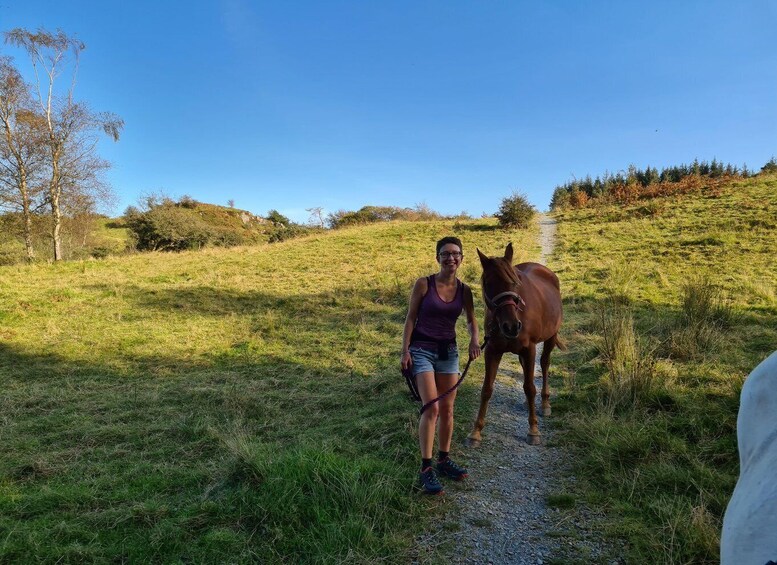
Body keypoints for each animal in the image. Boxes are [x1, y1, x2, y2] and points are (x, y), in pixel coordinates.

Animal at [464, 242, 560, 446]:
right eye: (488, 284)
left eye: (515, 283)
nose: (511, 326)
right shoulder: (492, 350)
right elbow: (487, 389)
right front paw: (476, 431)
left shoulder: (529, 349)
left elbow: (530, 388)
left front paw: (533, 430)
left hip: (551, 338)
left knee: (545, 364)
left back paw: (545, 403)